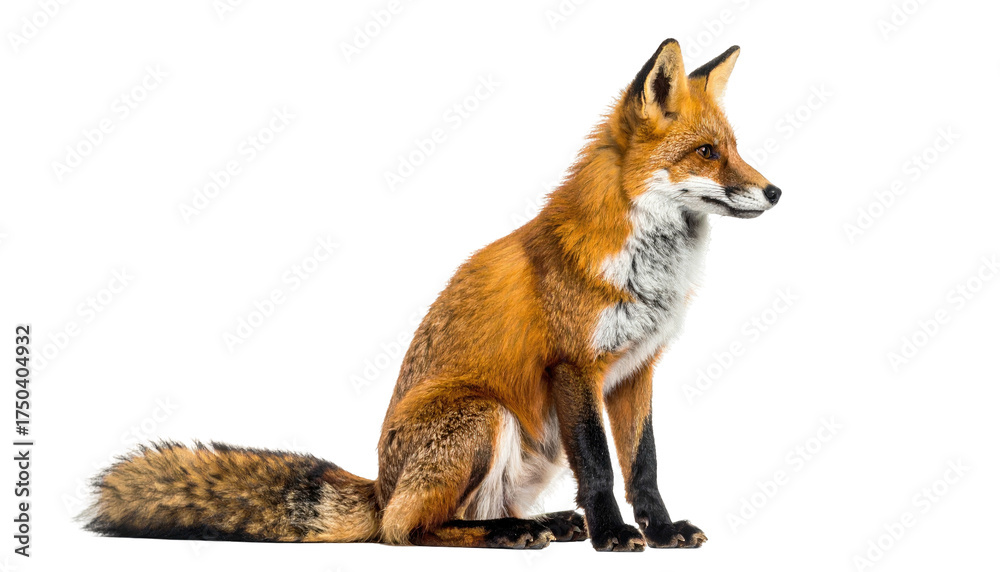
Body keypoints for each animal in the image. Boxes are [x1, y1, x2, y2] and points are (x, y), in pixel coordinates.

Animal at [84, 39, 781, 551]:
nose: (776, 192)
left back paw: (543, 524)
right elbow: (601, 466)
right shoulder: (574, 367)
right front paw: (612, 535)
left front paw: (660, 531)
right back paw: (509, 533)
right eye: (706, 153)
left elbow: (644, 465)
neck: (645, 265)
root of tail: (380, 486)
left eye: (735, 149)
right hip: (483, 415)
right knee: (407, 531)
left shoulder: (636, 371)